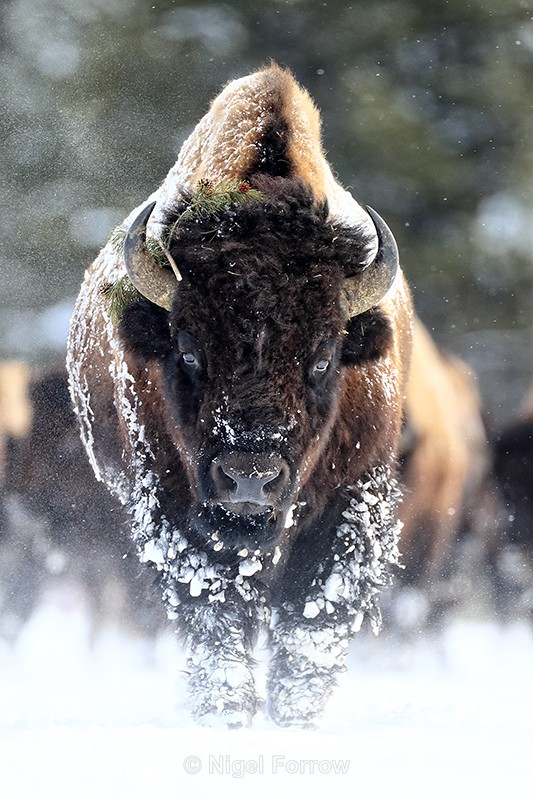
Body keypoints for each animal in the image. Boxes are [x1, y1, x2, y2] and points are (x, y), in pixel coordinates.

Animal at [67, 65, 413, 726]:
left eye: (324, 356)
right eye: (189, 351)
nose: (250, 478)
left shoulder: (353, 501)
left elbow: (311, 619)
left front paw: (291, 718)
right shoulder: (172, 506)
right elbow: (213, 611)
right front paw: (226, 712)